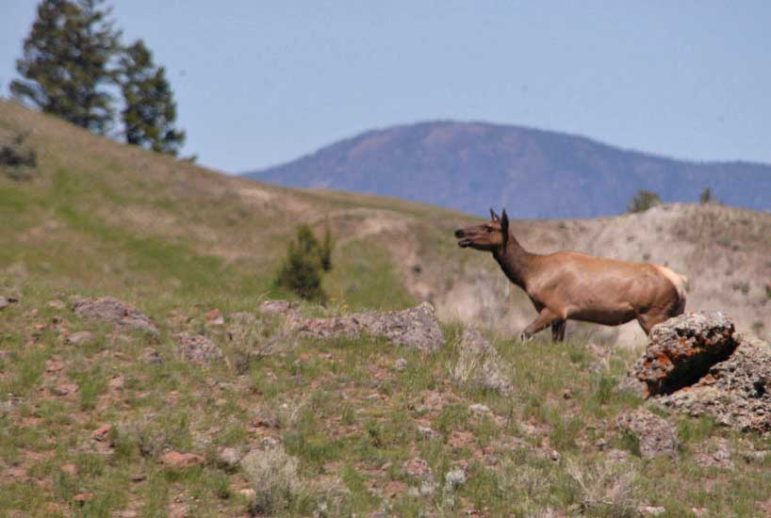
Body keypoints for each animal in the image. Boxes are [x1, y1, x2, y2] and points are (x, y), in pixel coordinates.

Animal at [452, 209, 688, 344]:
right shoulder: (562, 316)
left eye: (488, 227)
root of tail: (680, 283)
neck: (531, 275)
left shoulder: (555, 307)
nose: (459, 232)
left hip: (652, 313)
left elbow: (525, 333)